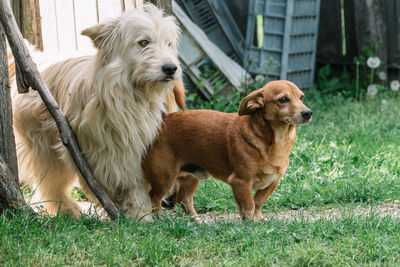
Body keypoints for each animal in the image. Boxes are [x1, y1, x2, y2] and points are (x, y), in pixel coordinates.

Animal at [11, 4, 183, 221]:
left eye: (169, 44)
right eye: (144, 42)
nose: (171, 68)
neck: (131, 96)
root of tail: (38, 62)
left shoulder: (138, 150)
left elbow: (136, 183)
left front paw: (139, 215)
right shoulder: (91, 152)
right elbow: (102, 181)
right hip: (44, 144)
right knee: (51, 182)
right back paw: (66, 210)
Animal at [144, 80, 312, 221]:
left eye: (302, 97)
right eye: (283, 99)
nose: (308, 113)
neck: (276, 141)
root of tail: (163, 120)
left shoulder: (272, 182)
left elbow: (258, 202)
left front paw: (259, 221)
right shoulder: (240, 182)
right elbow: (249, 206)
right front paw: (251, 225)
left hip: (191, 177)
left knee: (184, 200)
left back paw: (196, 223)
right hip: (164, 178)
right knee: (154, 199)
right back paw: (158, 221)